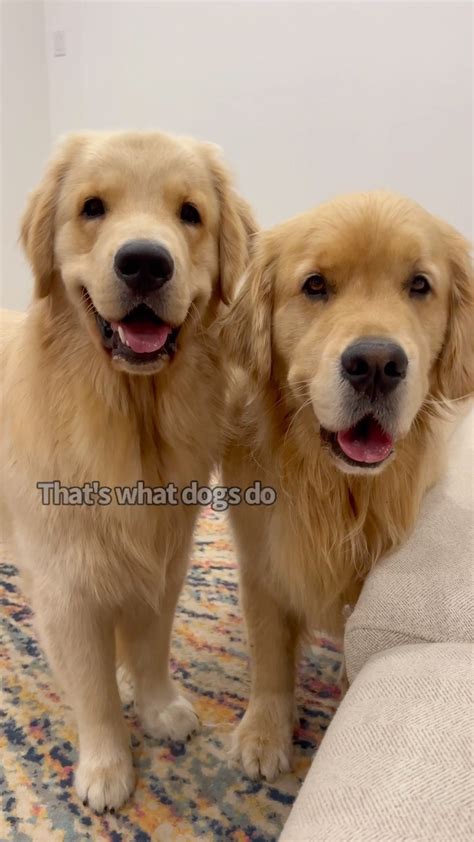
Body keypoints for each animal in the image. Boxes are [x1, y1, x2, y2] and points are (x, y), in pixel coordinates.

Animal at [0, 131, 255, 811]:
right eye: (93, 208)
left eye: (190, 213)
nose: (144, 263)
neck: (131, 419)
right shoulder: (65, 586)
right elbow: (92, 690)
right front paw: (106, 765)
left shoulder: (165, 560)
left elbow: (150, 648)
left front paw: (159, 708)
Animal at [220, 191, 473, 780]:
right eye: (315, 285)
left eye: (419, 285)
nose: (376, 363)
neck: (332, 485)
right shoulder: (261, 556)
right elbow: (269, 652)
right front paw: (264, 734)